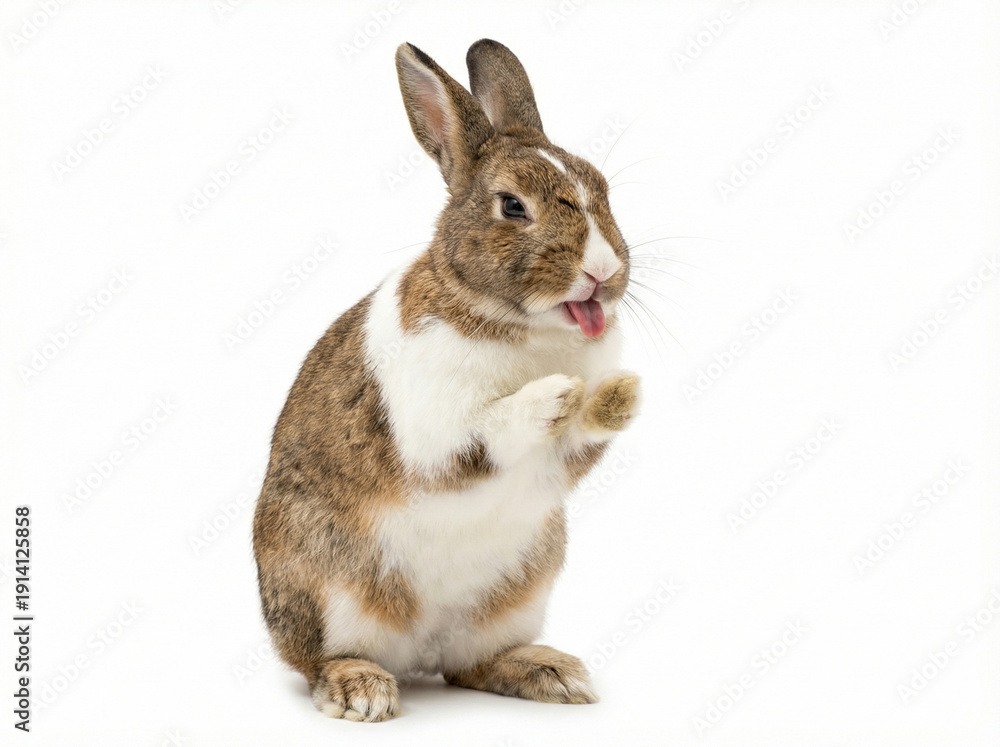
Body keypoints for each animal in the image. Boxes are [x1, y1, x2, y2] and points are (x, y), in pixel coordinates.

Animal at [252, 38, 640, 723]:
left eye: (601, 186)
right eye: (512, 205)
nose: (602, 270)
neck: (520, 325)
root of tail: (420, 650)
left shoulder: (561, 461)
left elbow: (582, 434)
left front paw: (618, 394)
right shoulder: (434, 428)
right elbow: (488, 430)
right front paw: (555, 393)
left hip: (519, 591)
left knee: (471, 664)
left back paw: (551, 675)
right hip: (329, 591)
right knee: (322, 661)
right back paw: (363, 691)